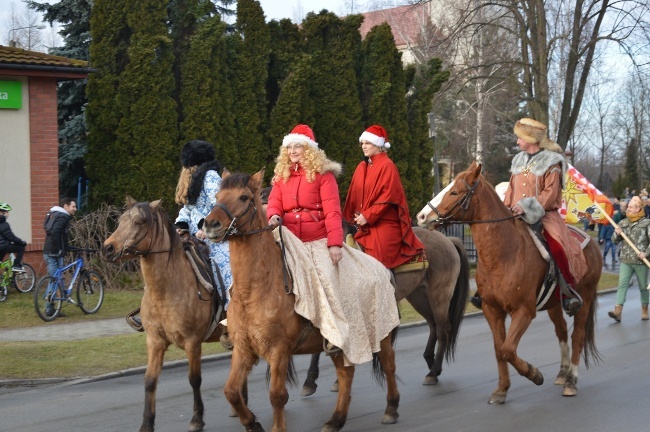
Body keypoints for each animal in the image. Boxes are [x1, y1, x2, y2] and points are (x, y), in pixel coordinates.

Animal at [100, 197, 229, 430]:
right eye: (121, 220)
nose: (108, 248)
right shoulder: (155, 341)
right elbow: (150, 380)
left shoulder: (192, 342)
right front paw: (146, 423)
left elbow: (194, 379)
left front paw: (197, 418)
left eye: (140, 221)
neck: (166, 290)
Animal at [200, 170, 398, 432]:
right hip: (339, 344)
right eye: (217, 196)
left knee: (388, 364)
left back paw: (391, 409)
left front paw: (276, 428)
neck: (255, 289)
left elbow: (277, 396)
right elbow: (231, 391)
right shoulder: (243, 349)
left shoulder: (278, 350)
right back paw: (336, 420)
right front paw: (253, 424)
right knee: (346, 373)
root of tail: (382, 267)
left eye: (243, 197)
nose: (210, 225)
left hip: (381, 334)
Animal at [302, 223, 468, 394]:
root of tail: (447, 239)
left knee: (443, 330)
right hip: (419, 296)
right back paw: (431, 362)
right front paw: (310, 381)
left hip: (439, 295)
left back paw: (433, 372)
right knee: (433, 325)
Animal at [412, 160, 600, 404]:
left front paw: (534, 374)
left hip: (585, 297)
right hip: (554, 305)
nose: (422, 216)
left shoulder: (523, 311)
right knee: (561, 332)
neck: (504, 254)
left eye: (454, 192)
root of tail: (594, 244)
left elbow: (508, 349)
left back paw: (571, 381)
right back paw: (562, 373)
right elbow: (499, 349)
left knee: (577, 336)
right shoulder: (492, 310)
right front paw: (502, 389)